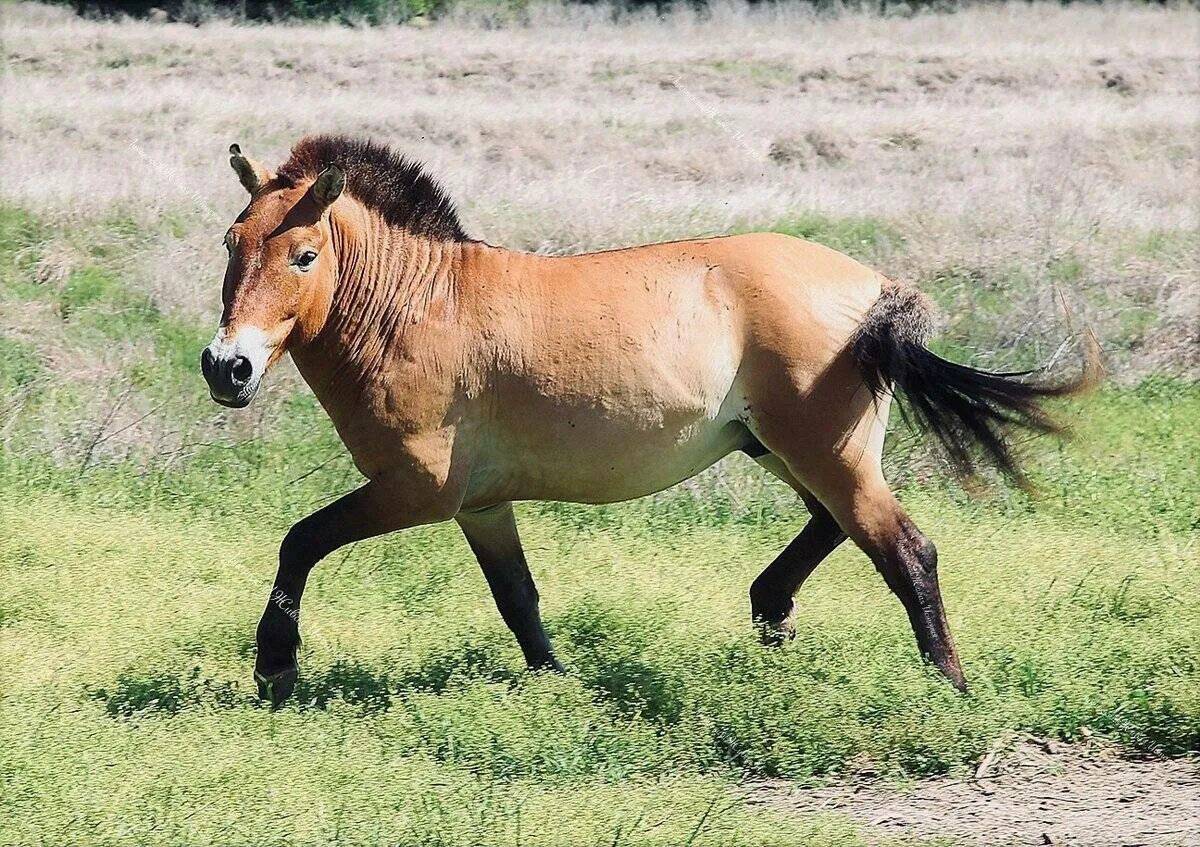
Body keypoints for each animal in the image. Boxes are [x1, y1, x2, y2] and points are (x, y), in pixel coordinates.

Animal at [206, 136, 1099, 705]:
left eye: (305, 256)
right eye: (230, 242)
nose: (227, 367)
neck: (416, 306)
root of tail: (875, 290)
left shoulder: (417, 491)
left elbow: (300, 542)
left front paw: (275, 666)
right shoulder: (482, 506)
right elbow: (518, 598)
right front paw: (558, 684)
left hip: (826, 453)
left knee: (906, 549)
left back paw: (948, 686)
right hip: (780, 448)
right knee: (831, 527)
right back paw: (772, 610)